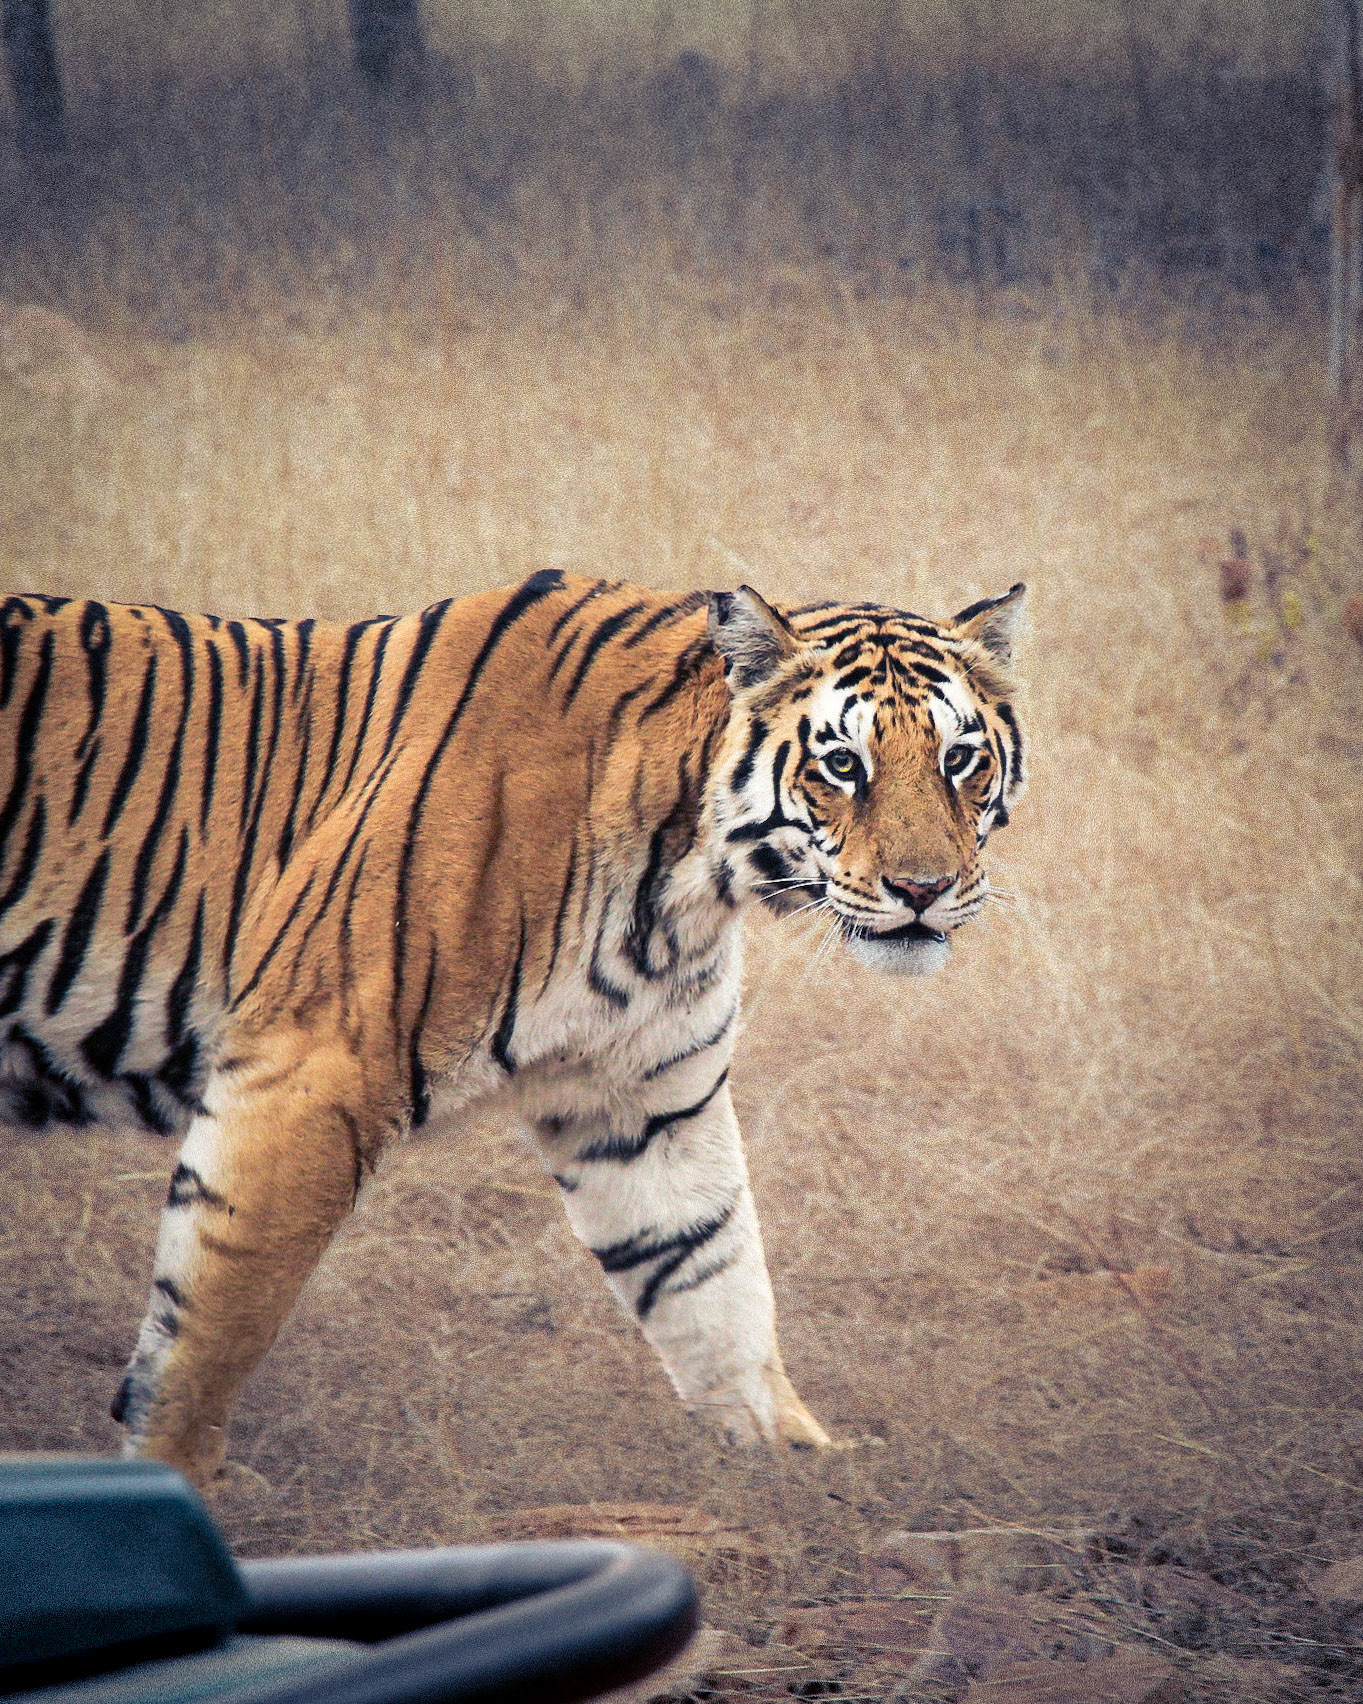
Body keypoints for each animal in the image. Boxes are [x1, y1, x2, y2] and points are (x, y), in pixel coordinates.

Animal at [0, 571, 1026, 1485]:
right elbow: (216, 1319)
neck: (685, 881)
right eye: (843, 764)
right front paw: (177, 1485)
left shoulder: (645, 1100)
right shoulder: (314, 1068)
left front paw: (801, 1471)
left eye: (958, 759)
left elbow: (714, 1280)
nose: (925, 889)